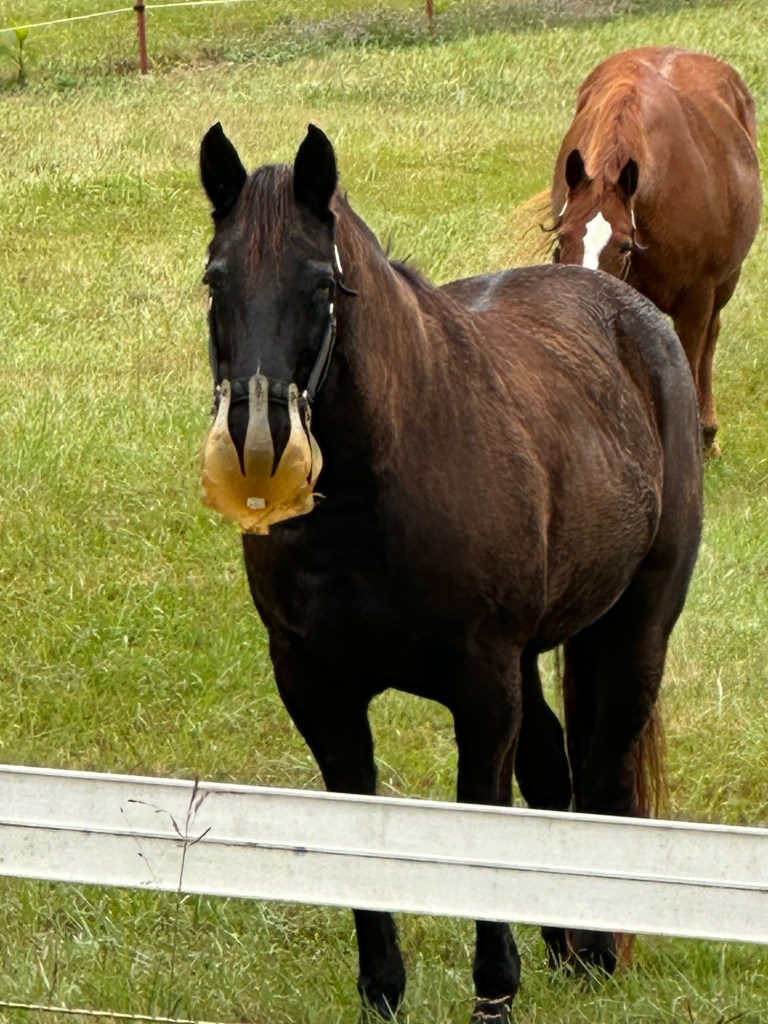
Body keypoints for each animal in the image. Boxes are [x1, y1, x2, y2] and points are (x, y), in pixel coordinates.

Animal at [198, 122, 703, 1022]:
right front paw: (383, 990)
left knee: (605, 769)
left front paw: (494, 988)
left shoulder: (482, 683)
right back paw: (564, 945)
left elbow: (480, 816)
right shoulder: (317, 688)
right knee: (553, 768)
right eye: (215, 279)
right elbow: (363, 824)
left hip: (636, 629)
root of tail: (631, 313)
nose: (259, 450)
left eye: (322, 283)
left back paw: (597, 953)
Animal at [550, 46, 762, 454]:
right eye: (562, 239)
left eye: (622, 247)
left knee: (710, 343)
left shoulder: (696, 301)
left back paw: (708, 432)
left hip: (724, 284)